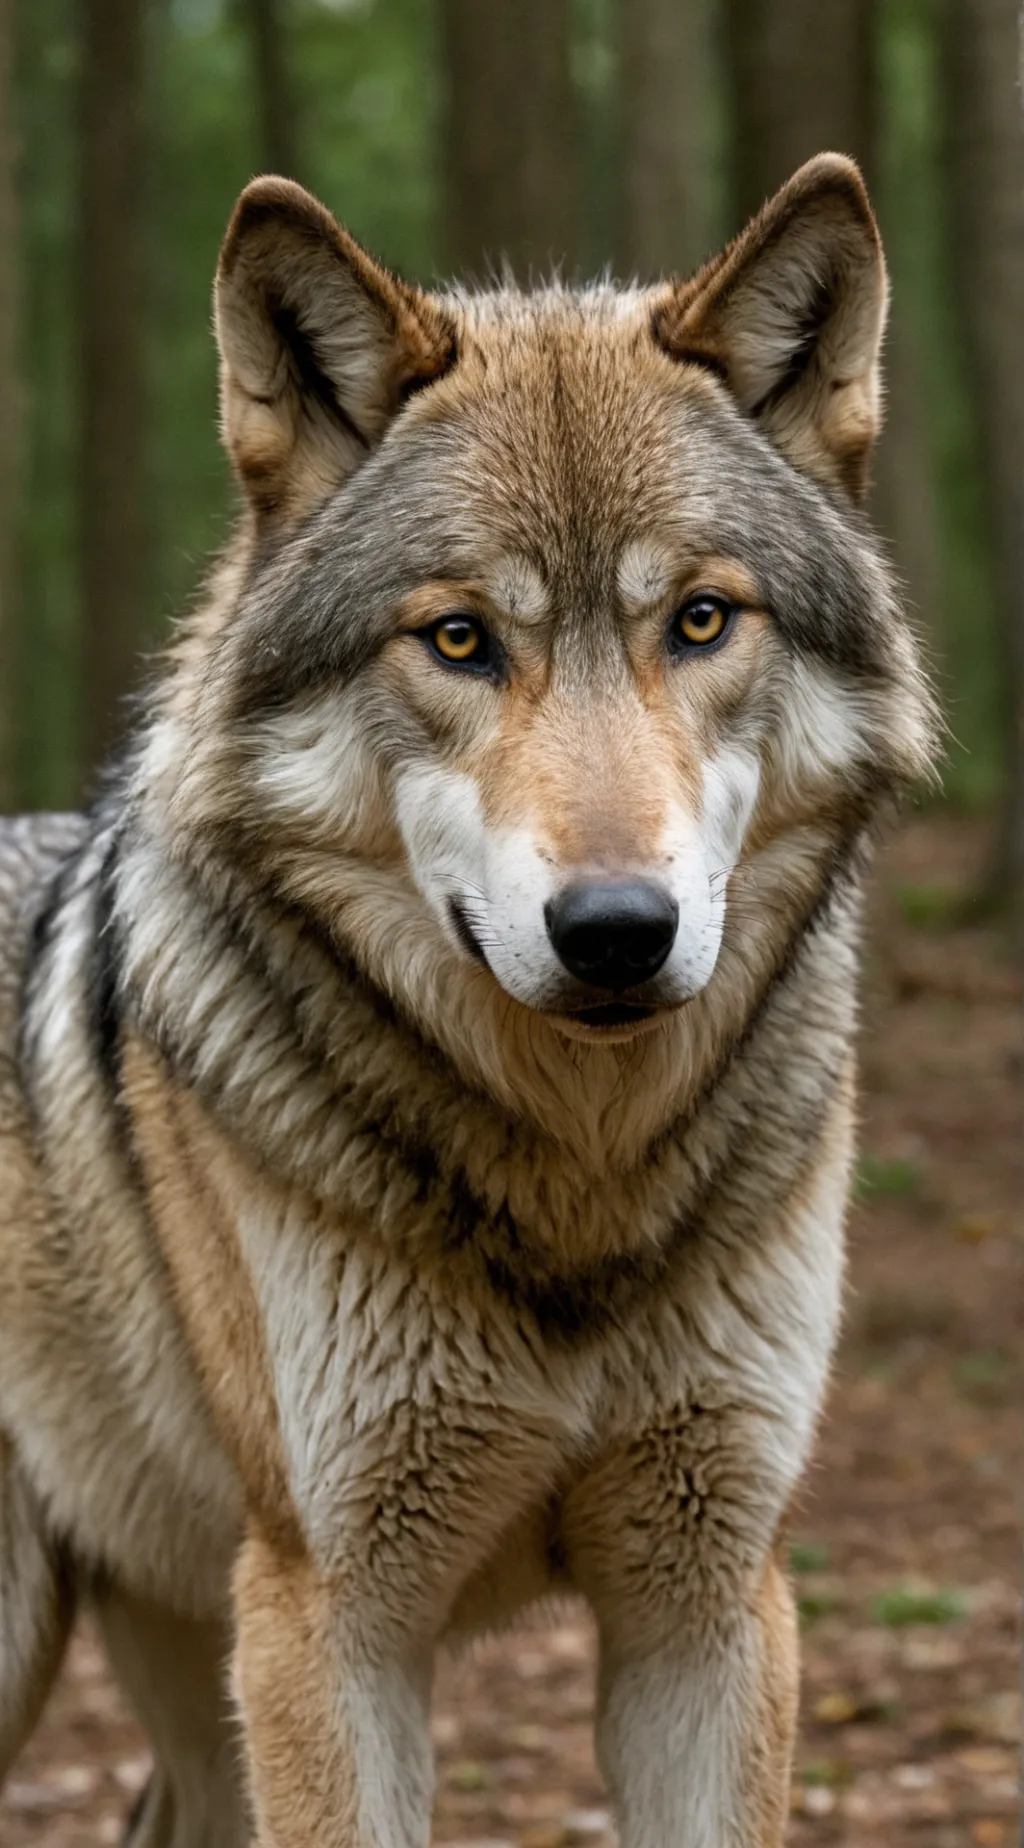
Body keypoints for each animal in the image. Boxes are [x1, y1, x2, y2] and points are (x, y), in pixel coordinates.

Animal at [0, 152, 935, 1847]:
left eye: (702, 620)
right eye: (459, 639)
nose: (618, 932)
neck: (579, 1186)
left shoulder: (713, 1601)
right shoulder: (329, 1616)